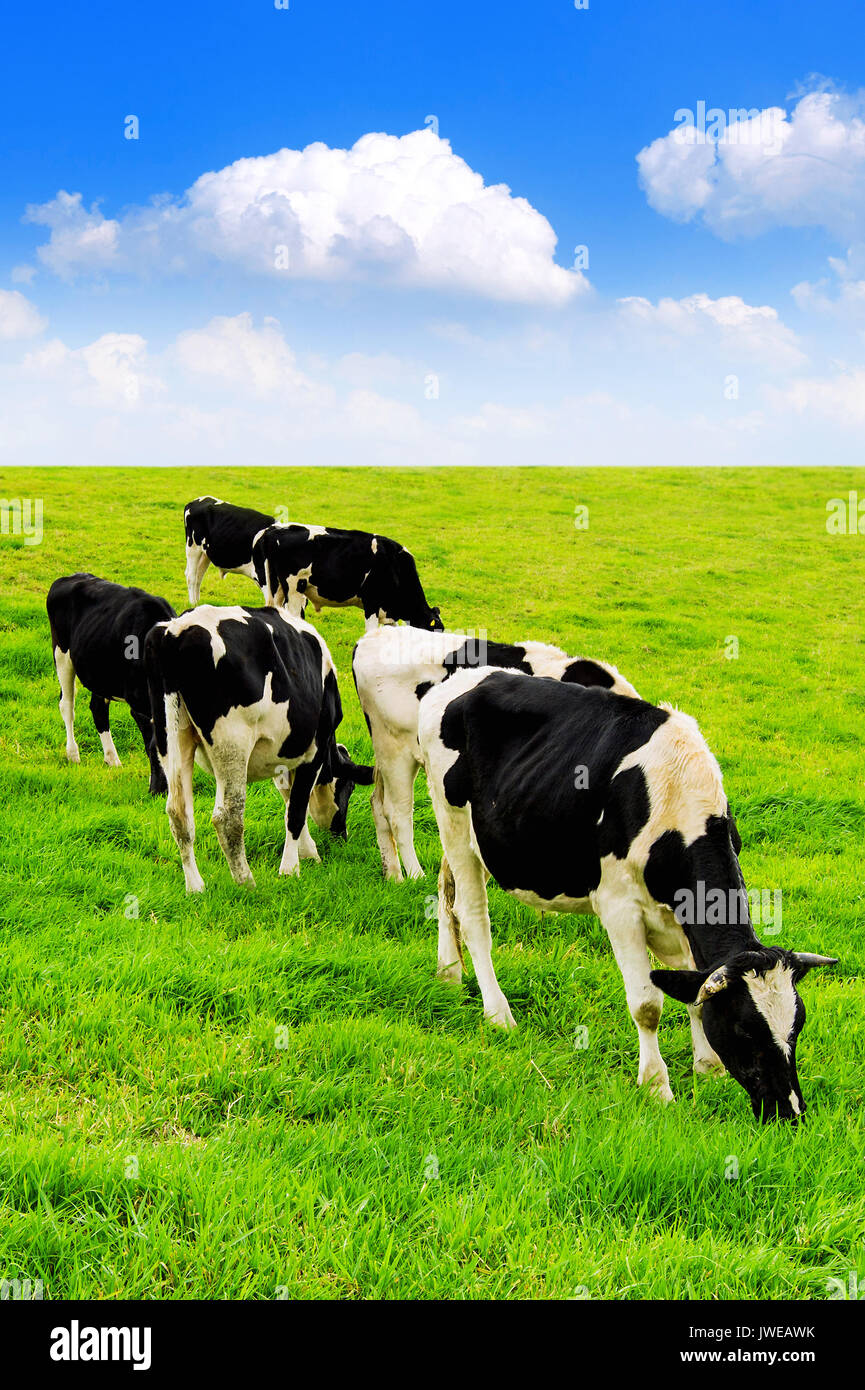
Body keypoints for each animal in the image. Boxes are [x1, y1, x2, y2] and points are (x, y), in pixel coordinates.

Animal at [47, 573, 176, 795]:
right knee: (67, 705)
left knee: (98, 708)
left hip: (100, 671)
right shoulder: (139, 703)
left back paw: (112, 759)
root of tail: (68, 577)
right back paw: (73, 754)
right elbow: (150, 742)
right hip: (61, 653)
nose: (158, 792)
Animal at [144, 604, 373, 892]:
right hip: (232, 742)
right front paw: (290, 869)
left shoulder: (284, 757)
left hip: (171, 736)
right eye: (349, 788)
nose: (341, 834)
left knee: (178, 812)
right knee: (227, 816)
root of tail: (175, 630)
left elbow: (289, 800)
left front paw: (308, 852)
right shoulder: (314, 752)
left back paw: (195, 887)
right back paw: (245, 881)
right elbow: (296, 809)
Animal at [352, 624, 640, 881]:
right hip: (396, 749)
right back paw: (415, 875)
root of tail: (372, 638)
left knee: (377, 804)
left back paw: (393, 875)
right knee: (397, 813)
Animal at [418, 666, 837, 1123]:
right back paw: (497, 1012)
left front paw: (708, 1068)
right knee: (472, 916)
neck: (677, 804)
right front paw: (657, 1086)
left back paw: (448, 973)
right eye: (745, 1029)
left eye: (797, 1026)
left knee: (445, 892)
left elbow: (694, 992)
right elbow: (647, 1005)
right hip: (453, 819)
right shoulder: (620, 908)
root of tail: (465, 677)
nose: (790, 1111)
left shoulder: (682, 919)